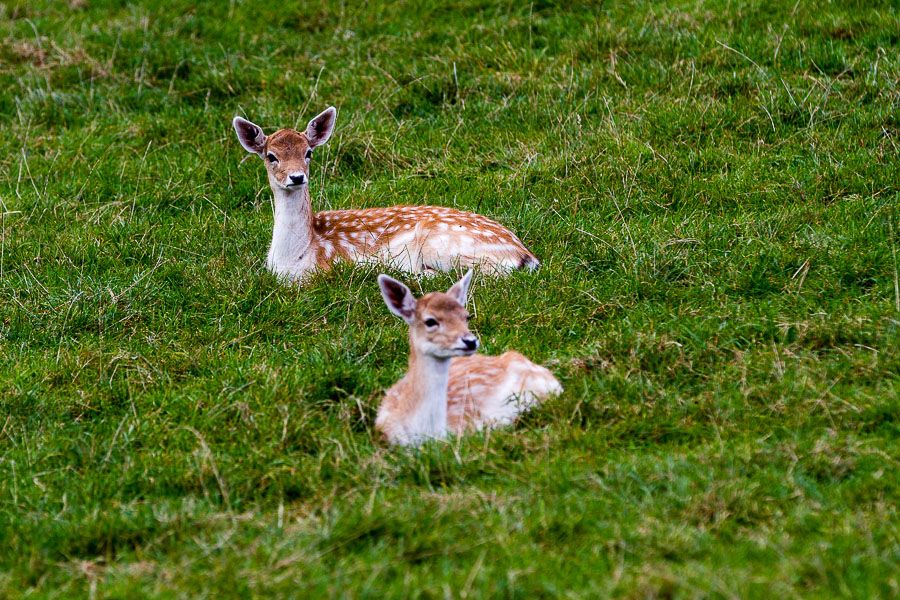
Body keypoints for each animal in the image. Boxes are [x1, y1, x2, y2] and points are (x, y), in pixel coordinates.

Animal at [234, 108, 540, 284]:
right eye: (271, 156)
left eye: (308, 152)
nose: (297, 177)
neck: (294, 258)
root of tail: (525, 255)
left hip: (444, 244)